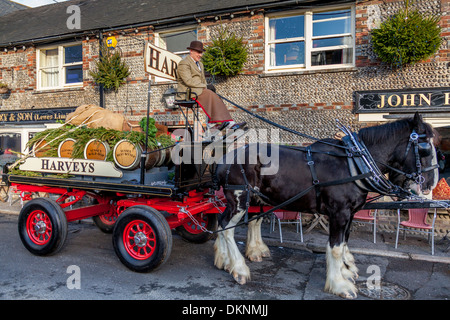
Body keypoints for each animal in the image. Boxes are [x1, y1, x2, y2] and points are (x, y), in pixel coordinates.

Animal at [213, 114, 438, 298]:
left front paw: (346, 271)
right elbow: (336, 248)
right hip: (239, 200)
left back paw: (226, 259)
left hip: (255, 199)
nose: (431, 184)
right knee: (226, 227)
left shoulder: (350, 213)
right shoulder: (339, 212)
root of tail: (227, 158)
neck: (354, 162)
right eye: (425, 149)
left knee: (231, 221)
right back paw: (238, 268)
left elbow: (344, 241)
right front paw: (340, 284)